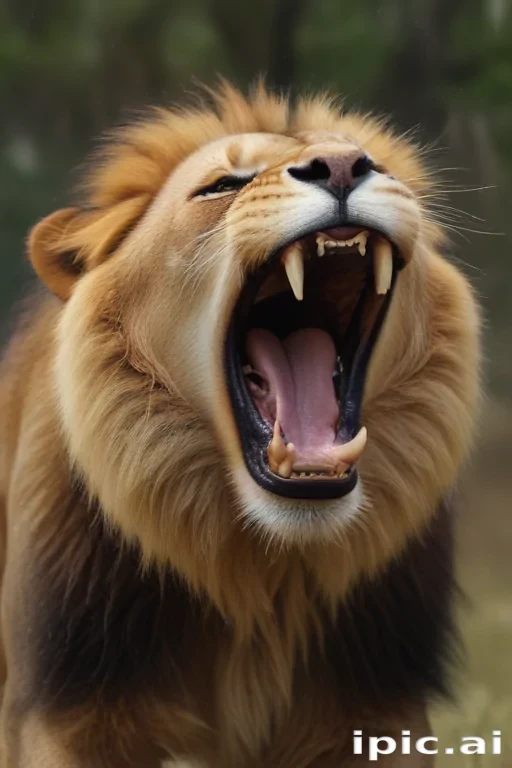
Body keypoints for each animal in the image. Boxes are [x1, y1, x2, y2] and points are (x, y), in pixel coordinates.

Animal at [0, 83, 480, 767]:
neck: (257, 569)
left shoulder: (377, 710)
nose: (342, 166)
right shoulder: (69, 709)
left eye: (375, 163)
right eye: (224, 184)